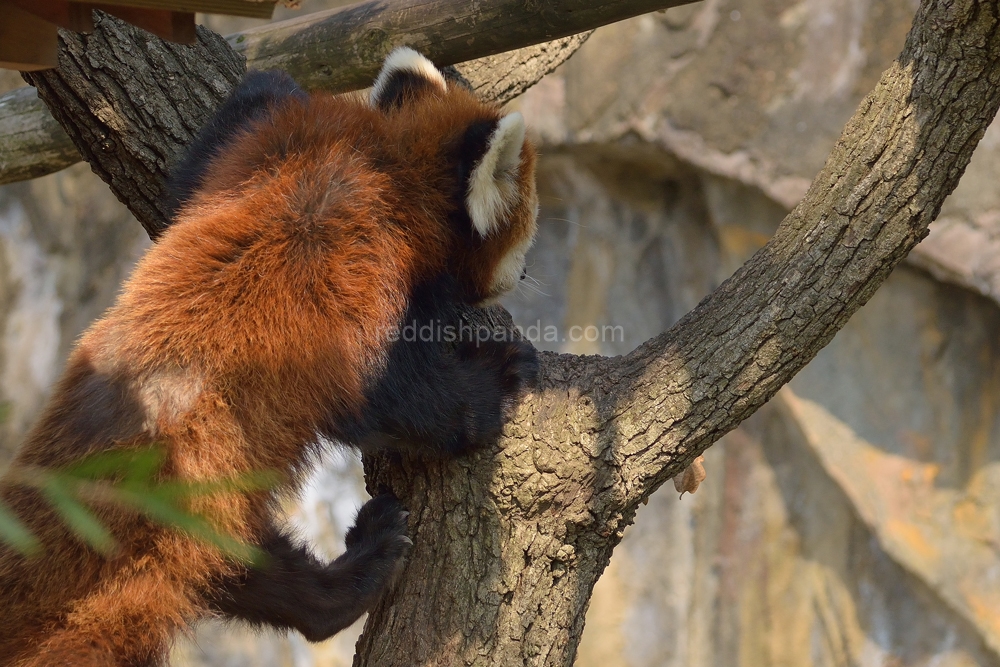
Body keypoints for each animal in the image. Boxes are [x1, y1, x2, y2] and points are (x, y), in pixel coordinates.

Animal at [0, 48, 540, 667]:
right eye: (528, 232)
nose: (527, 271)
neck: (389, 170)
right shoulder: (357, 284)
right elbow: (393, 397)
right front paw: (498, 379)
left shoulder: (271, 149)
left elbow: (241, 117)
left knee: (247, 571)